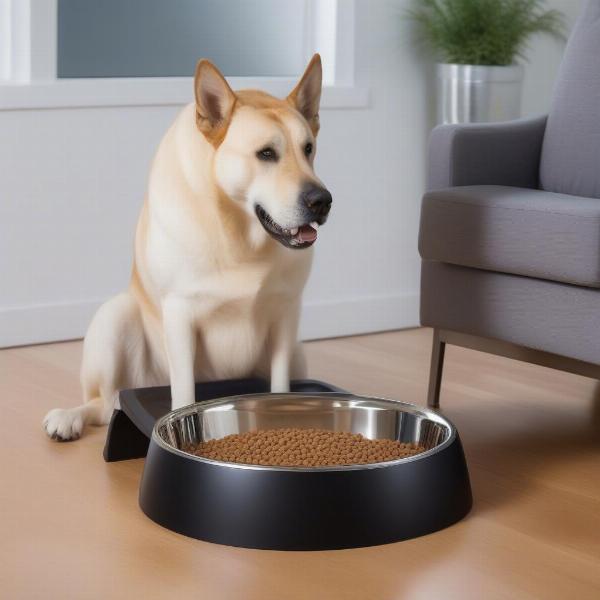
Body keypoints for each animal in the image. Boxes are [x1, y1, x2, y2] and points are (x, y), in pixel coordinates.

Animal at [42, 55, 332, 440]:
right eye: (266, 154)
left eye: (308, 149)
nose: (322, 201)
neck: (240, 233)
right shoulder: (180, 314)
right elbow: (183, 396)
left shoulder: (286, 314)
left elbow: (281, 387)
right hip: (115, 318)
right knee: (104, 405)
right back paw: (70, 417)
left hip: (298, 350)